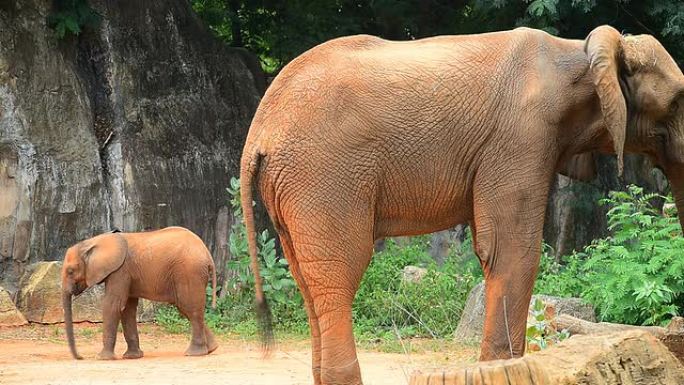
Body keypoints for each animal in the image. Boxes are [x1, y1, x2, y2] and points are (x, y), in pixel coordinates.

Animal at [61, 226, 218, 358]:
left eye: (70, 271)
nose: (80, 357)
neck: (93, 242)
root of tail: (207, 254)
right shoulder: (126, 274)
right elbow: (127, 309)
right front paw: (132, 357)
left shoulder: (120, 271)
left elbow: (113, 305)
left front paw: (102, 358)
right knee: (185, 309)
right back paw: (211, 349)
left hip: (189, 272)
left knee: (190, 308)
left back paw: (194, 353)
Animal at [239, 25, 684, 382]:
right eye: (678, 101)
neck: (584, 53)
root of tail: (257, 133)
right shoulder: (521, 137)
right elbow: (511, 250)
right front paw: (500, 366)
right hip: (323, 175)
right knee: (339, 274)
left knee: (307, 278)